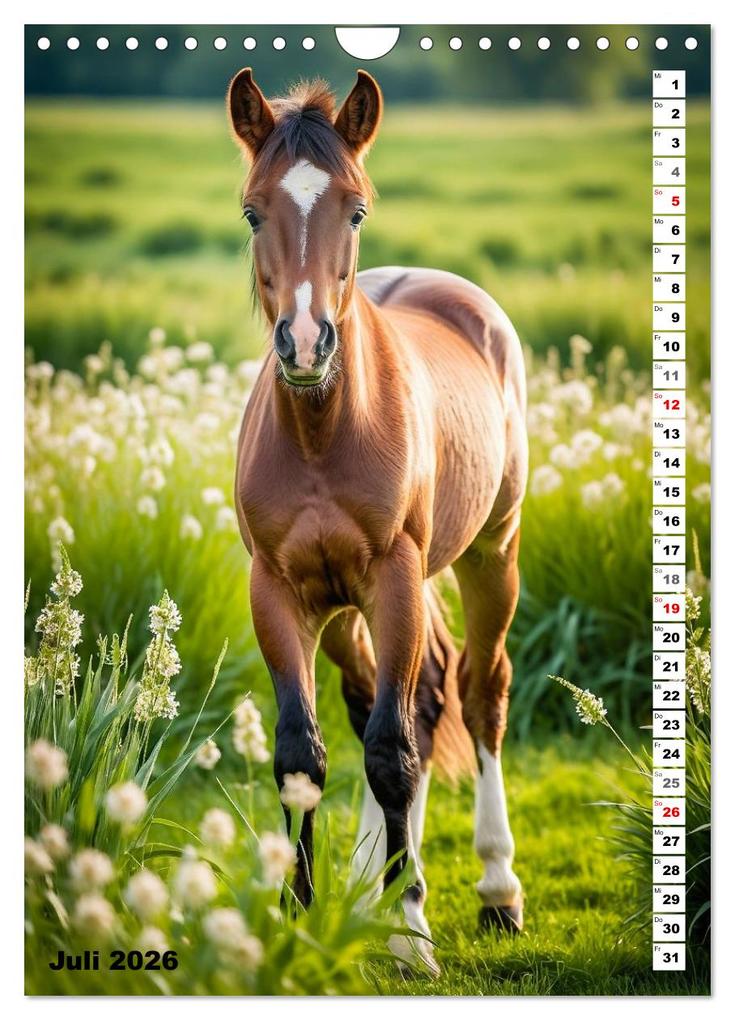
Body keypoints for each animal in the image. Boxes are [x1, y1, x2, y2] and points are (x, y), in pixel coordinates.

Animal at [227, 68, 528, 975]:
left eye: (354, 209)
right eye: (253, 211)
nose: (304, 344)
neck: (326, 434)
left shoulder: (395, 580)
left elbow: (393, 757)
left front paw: (411, 939)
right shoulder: (281, 592)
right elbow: (305, 755)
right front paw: (300, 920)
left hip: (488, 555)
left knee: (476, 691)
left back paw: (494, 891)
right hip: (347, 610)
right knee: (394, 701)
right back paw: (373, 891)